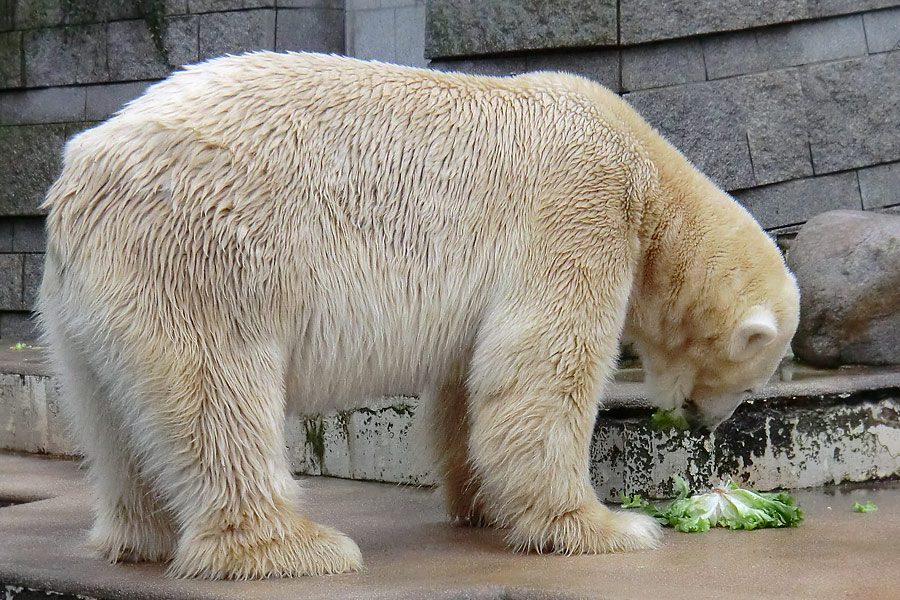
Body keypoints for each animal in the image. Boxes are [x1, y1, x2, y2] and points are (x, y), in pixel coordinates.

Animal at [38, 52, 800, 580]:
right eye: (746, 380)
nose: (707, 425)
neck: (647, 172)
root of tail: (81, 175)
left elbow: (470, 385)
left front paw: (485, 504)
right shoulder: (576, 205)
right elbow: (541, 372)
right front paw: (607, 527)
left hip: (83, 309)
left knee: (111, 416)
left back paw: (139, 538)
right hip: (204, 257)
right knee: (219, 395)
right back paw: (297, 548)